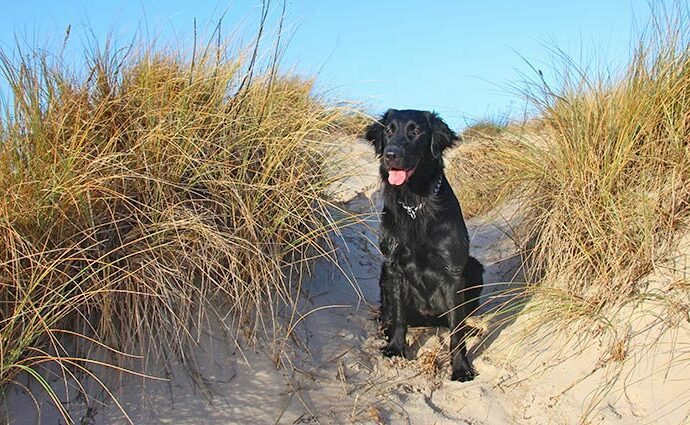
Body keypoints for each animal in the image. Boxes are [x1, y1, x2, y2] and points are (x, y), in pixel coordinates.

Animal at [362, 109, 482, 380]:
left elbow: (456, 330)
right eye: (389, 131)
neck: (415, 202)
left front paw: (461, 367)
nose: (391, 154)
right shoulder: (394, 265)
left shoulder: (453, 273)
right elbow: (399, 316)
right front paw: (396, 347)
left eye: (415, 131)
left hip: (474, 267)